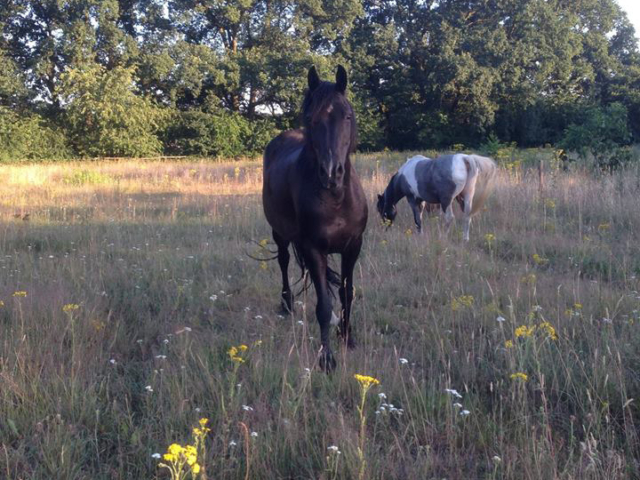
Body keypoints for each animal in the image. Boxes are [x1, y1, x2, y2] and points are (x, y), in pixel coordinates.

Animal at [262, 64, 368, 372]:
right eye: (312, 118)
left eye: (347, 116)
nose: (332, 173)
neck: (336, 199)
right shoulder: (313, 248)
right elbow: (324, 305)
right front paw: (327, 359)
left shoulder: (353, 246)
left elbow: (346, 293)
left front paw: (347, 336)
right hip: (279, 233)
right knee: (284, 262)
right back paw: (286, 305)